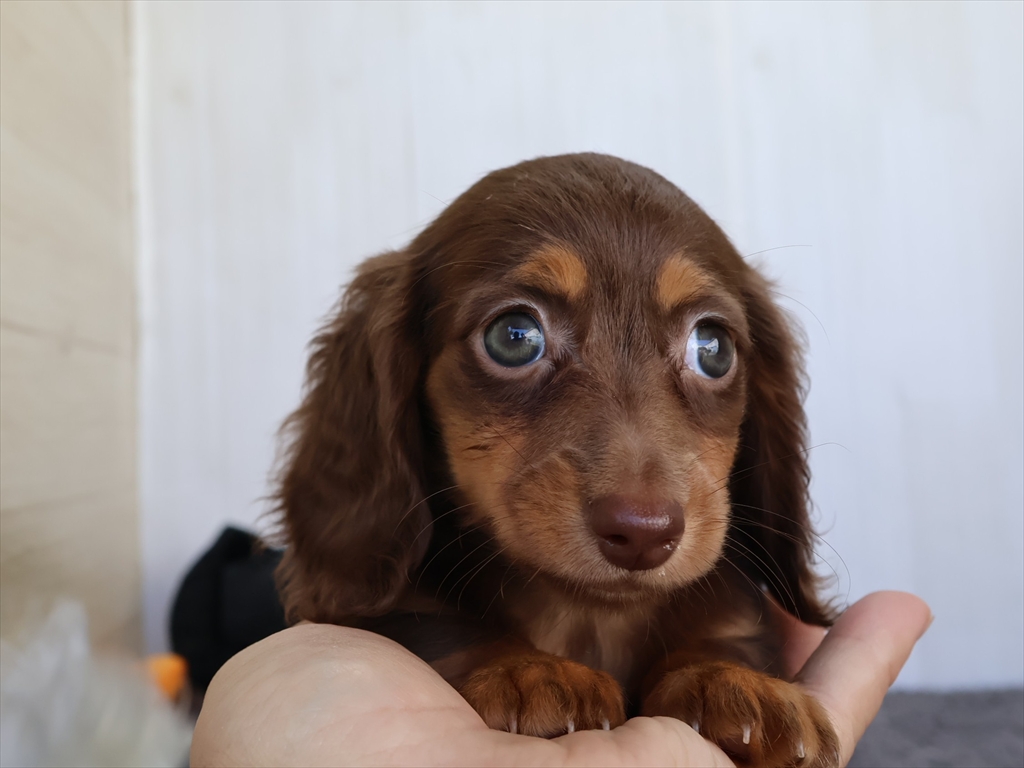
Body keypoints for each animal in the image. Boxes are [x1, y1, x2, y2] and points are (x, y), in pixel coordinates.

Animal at [274, 153, 839, 767]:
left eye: (713, 348)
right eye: (513, 336)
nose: (644, 533)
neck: (590, 612)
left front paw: (731, 680)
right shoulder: (406, 609)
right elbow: (446, 628)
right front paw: (528, 669)